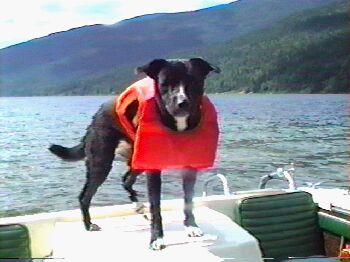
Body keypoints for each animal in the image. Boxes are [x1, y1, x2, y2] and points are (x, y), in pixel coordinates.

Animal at [48, 57, 219, 250]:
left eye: (194, 82)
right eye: (164, 84)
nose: (182, 103)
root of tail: (94, 118)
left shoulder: (189, 167)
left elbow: (188, 200)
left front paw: (191, 226)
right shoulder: (153, 169)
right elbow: (156, 207)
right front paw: (156, 239)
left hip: (136, 161)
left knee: (126, 179)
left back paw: (138, 206)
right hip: (101, 163)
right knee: (85, 196)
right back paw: (89, 225)